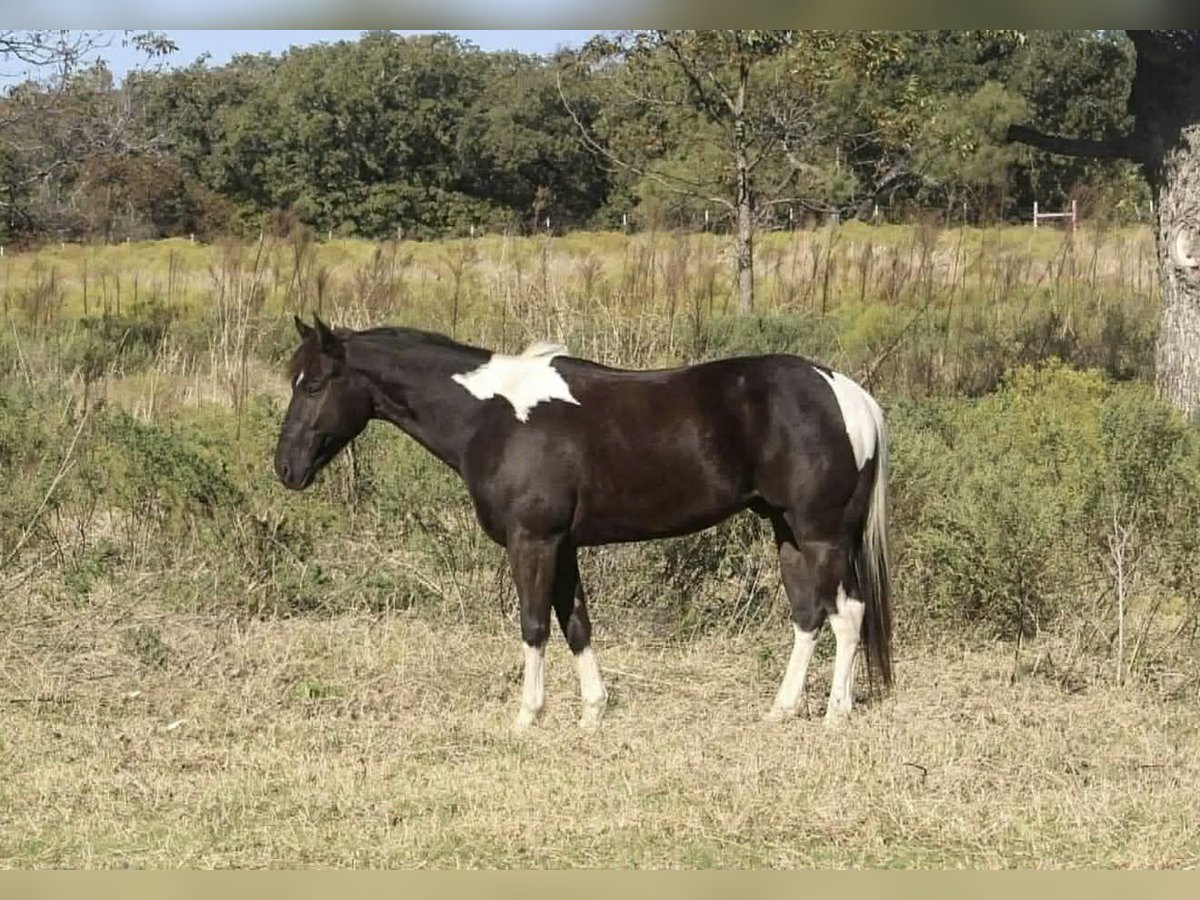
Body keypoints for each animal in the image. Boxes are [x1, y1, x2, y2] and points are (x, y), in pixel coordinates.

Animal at [274, 315, 893, 730]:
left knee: (838, 615)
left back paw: (825, 712)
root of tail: (846, 392)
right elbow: (576, 622)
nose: (285, 468)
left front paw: (527, 716)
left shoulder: (532, 541)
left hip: (818, 533)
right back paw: (796, 709)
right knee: (819, 614)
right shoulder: (563, 546)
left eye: (314, 385)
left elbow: (534, 625)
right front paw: (593, 712)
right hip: (789, 531)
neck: (491, 415)